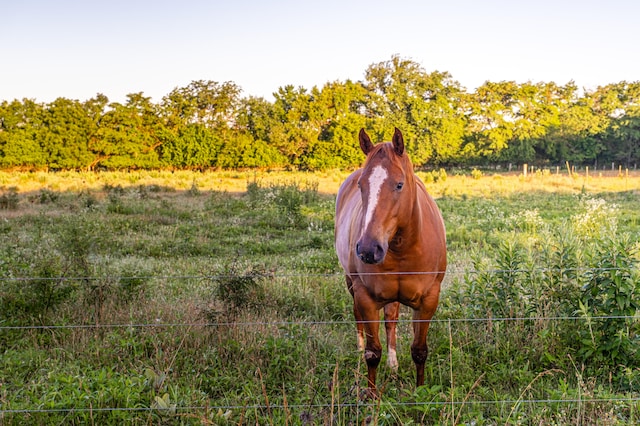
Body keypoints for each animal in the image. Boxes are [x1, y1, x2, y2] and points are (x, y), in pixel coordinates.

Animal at [332, 127, 448, 396]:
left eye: (399, 184)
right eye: (361, 185)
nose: (368, 249)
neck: (402, 249)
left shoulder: (429, 299)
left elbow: (419, 350)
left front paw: (420, 391)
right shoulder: (365, 297)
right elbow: (373, 353)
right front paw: (372, 396)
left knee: (391, 320)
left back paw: (393, 366)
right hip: (351, 283)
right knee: (359, 318)